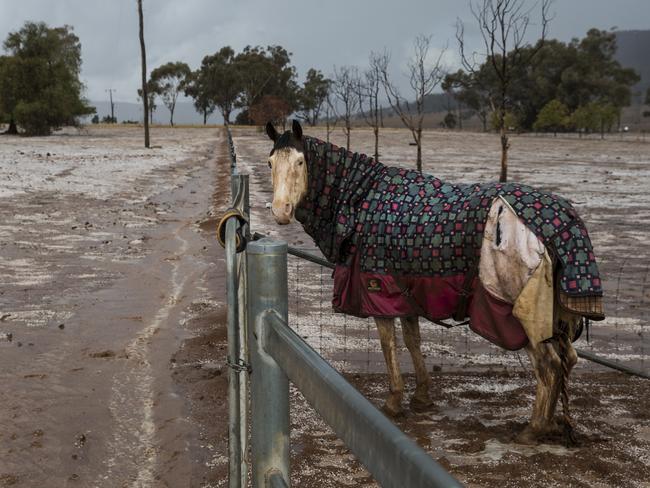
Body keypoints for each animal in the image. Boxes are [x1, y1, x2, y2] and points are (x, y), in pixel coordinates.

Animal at [262, 120, 604, 444]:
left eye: (300, 162)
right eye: (270, 162)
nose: (280, 211)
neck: (361, 201)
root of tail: (560, 226)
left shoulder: (379, 290)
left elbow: (389, 343)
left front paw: (394, 401)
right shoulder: (406, 290)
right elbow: (413, 340)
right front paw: (422, 396)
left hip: (528, 314)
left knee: (549, 365)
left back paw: (533, 429)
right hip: (554, 316)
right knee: (568, 360)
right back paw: (556, 424)